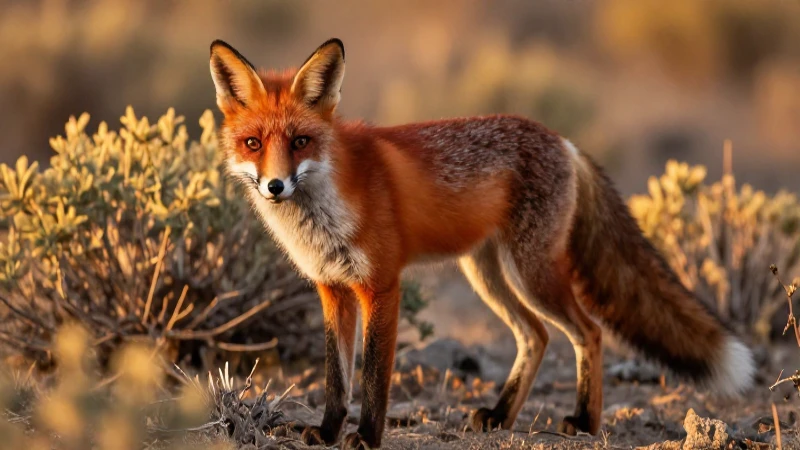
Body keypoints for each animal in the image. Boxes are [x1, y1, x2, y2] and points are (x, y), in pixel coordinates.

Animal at [209, 38, 755, 449]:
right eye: (253, 144)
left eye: (300, 142)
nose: (275, 186)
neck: (325, 210)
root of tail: (563, 140)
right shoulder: (333, 289)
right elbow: (336, 378)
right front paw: (325, 432)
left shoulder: (382, 285)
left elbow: (373, 377)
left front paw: (366, 437)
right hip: (487, 275)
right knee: (536, 335)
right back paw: (500, 415)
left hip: (533, 273)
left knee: (589, 331)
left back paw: (584, 422)